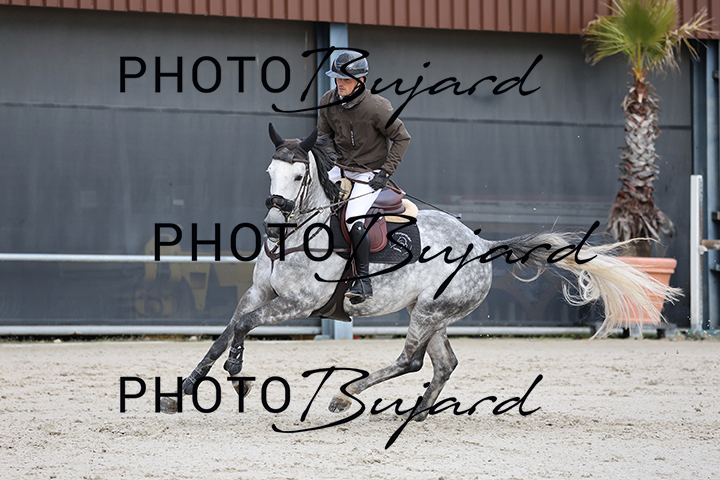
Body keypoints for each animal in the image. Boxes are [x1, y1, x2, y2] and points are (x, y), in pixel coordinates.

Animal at [161, 124, 681, 420]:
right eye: (268, 172)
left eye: (298, 175)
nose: (271, 226)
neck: (299, 234)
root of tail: (483, 246)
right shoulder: (260, 294)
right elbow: (227, 329)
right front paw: (184, 390)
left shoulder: (299, 304)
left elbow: (244, 327)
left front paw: (237, 375)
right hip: (434, 314)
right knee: (443, 363)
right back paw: (417, 412)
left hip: (429, 313)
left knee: (411, 361)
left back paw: (346, 397)